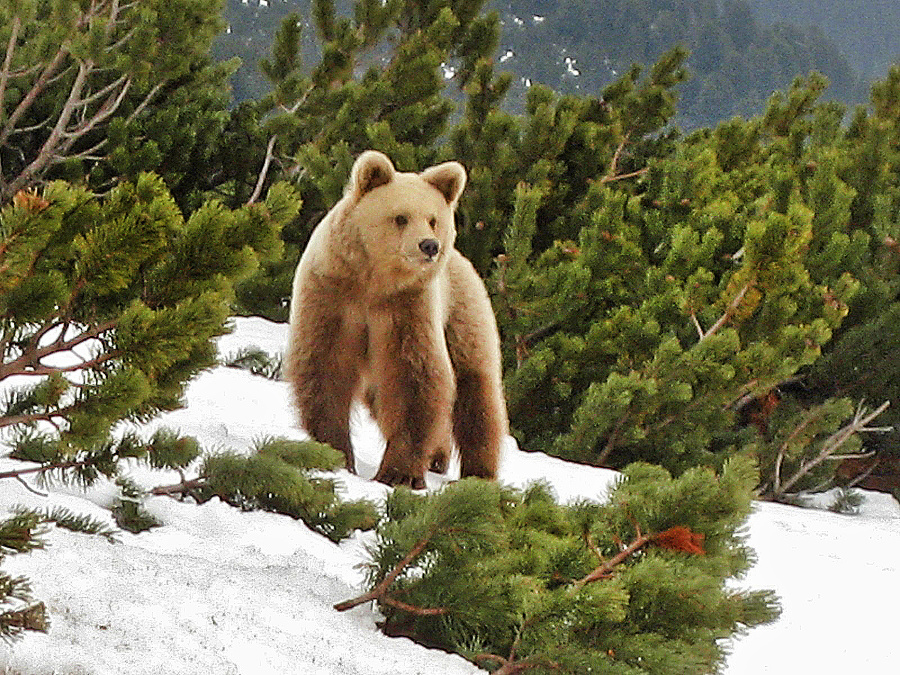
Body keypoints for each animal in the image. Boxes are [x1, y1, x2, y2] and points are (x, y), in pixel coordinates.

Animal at [284, 151, 506, 488]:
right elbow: (325, 367)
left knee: (477, 394)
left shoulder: (408, 309)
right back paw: (439, 456)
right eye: (400, 217)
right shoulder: (332, 296)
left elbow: (414, 379)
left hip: (463, 316)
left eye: (433, 219)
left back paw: (477, 473)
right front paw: (335, 453)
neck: (374, 283)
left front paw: (399, 472)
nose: (429, 245)